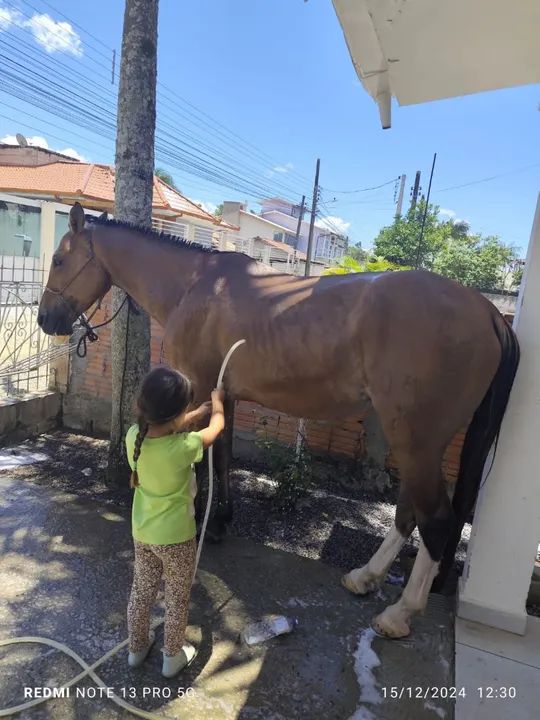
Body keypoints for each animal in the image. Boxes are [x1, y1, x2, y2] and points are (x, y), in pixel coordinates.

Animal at [38, 202, 519, 638]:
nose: (45, 319)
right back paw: (366, 576)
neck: (194, 286)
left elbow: (199, 459)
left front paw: (197, 519)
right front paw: (221, 520)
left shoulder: (197, 387)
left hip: (416, 439)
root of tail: (488, 312)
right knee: (408, 513)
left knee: (434, 517)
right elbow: (224, 455)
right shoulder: (223, 393)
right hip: (413, 441)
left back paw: (400, 613)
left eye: (59, 259)